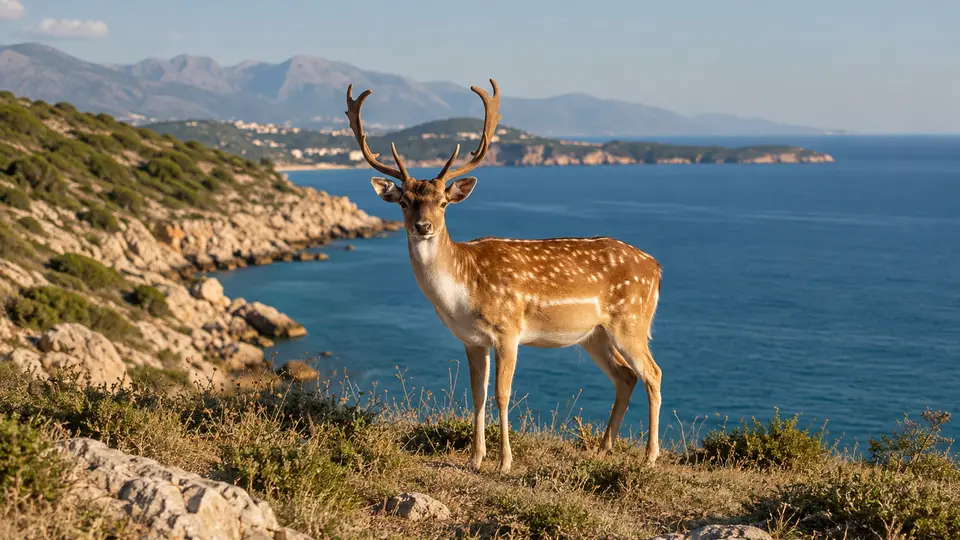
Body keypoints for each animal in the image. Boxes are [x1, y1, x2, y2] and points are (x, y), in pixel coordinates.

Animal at [345, 79, 664, 473]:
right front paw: (476, 458)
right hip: (595, 334)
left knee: (653, 373)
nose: (423, 226)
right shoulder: (471, 339)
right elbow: (477, 395)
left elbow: (502, 394)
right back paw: (603, 448)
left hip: (631, 319)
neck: (462, 293)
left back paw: (650, 455)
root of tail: (656, 268)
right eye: (404, 202)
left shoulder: (508, 330)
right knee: (626, 376)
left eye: (443, 203)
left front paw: (504, 461)